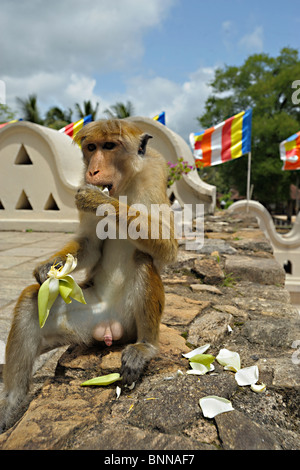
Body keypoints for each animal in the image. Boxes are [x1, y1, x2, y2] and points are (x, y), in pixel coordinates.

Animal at [0, 119, 178, 432]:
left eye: (109, 146)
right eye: (91, 148)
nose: (93, 171)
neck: (125, 186)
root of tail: (109, 326)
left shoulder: (155, 173)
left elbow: (167, 247)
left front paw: (99, 199)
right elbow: (91, 247)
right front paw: (49, 266)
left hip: (130, 322)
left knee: (143, 260)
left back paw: (145, 346)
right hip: (85, 320)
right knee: (31, 300)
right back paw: (12, 402)